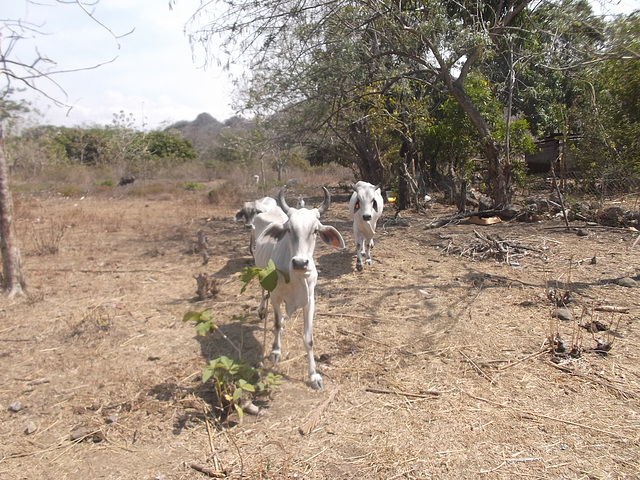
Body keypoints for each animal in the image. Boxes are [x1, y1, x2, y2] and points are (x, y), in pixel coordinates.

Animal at [255, 188, 344, 390]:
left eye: (315, 230)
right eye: (289, 229)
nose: (300, 263)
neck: (296, 278)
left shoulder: (309, 301)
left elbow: (308, 339)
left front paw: (314, 376)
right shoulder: (276, 297)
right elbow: (276, 323)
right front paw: (275, 351)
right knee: (263, 292)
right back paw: (262, 310)